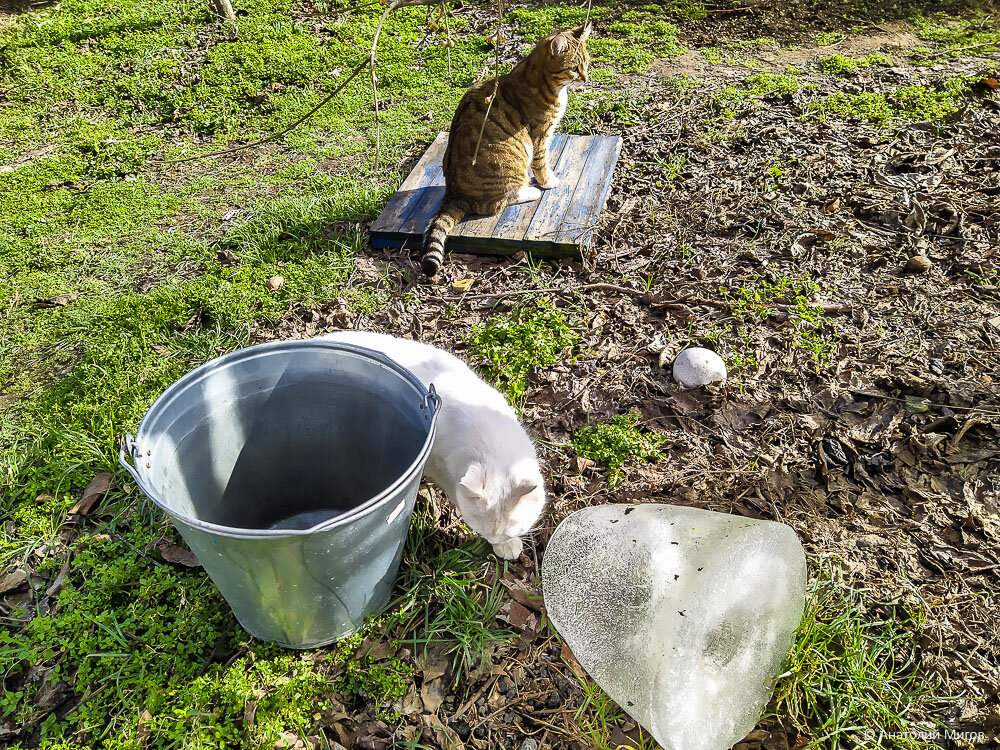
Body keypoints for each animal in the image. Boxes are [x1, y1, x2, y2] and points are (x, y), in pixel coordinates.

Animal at [422, 22, 592, 276]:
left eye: (586, 62)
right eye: (573, 68)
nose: (585, 78)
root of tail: (453, 195)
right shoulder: (540, 134)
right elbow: (541, 163)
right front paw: (548, 181)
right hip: (511, 160)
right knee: (495, 204)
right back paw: (531, 191)